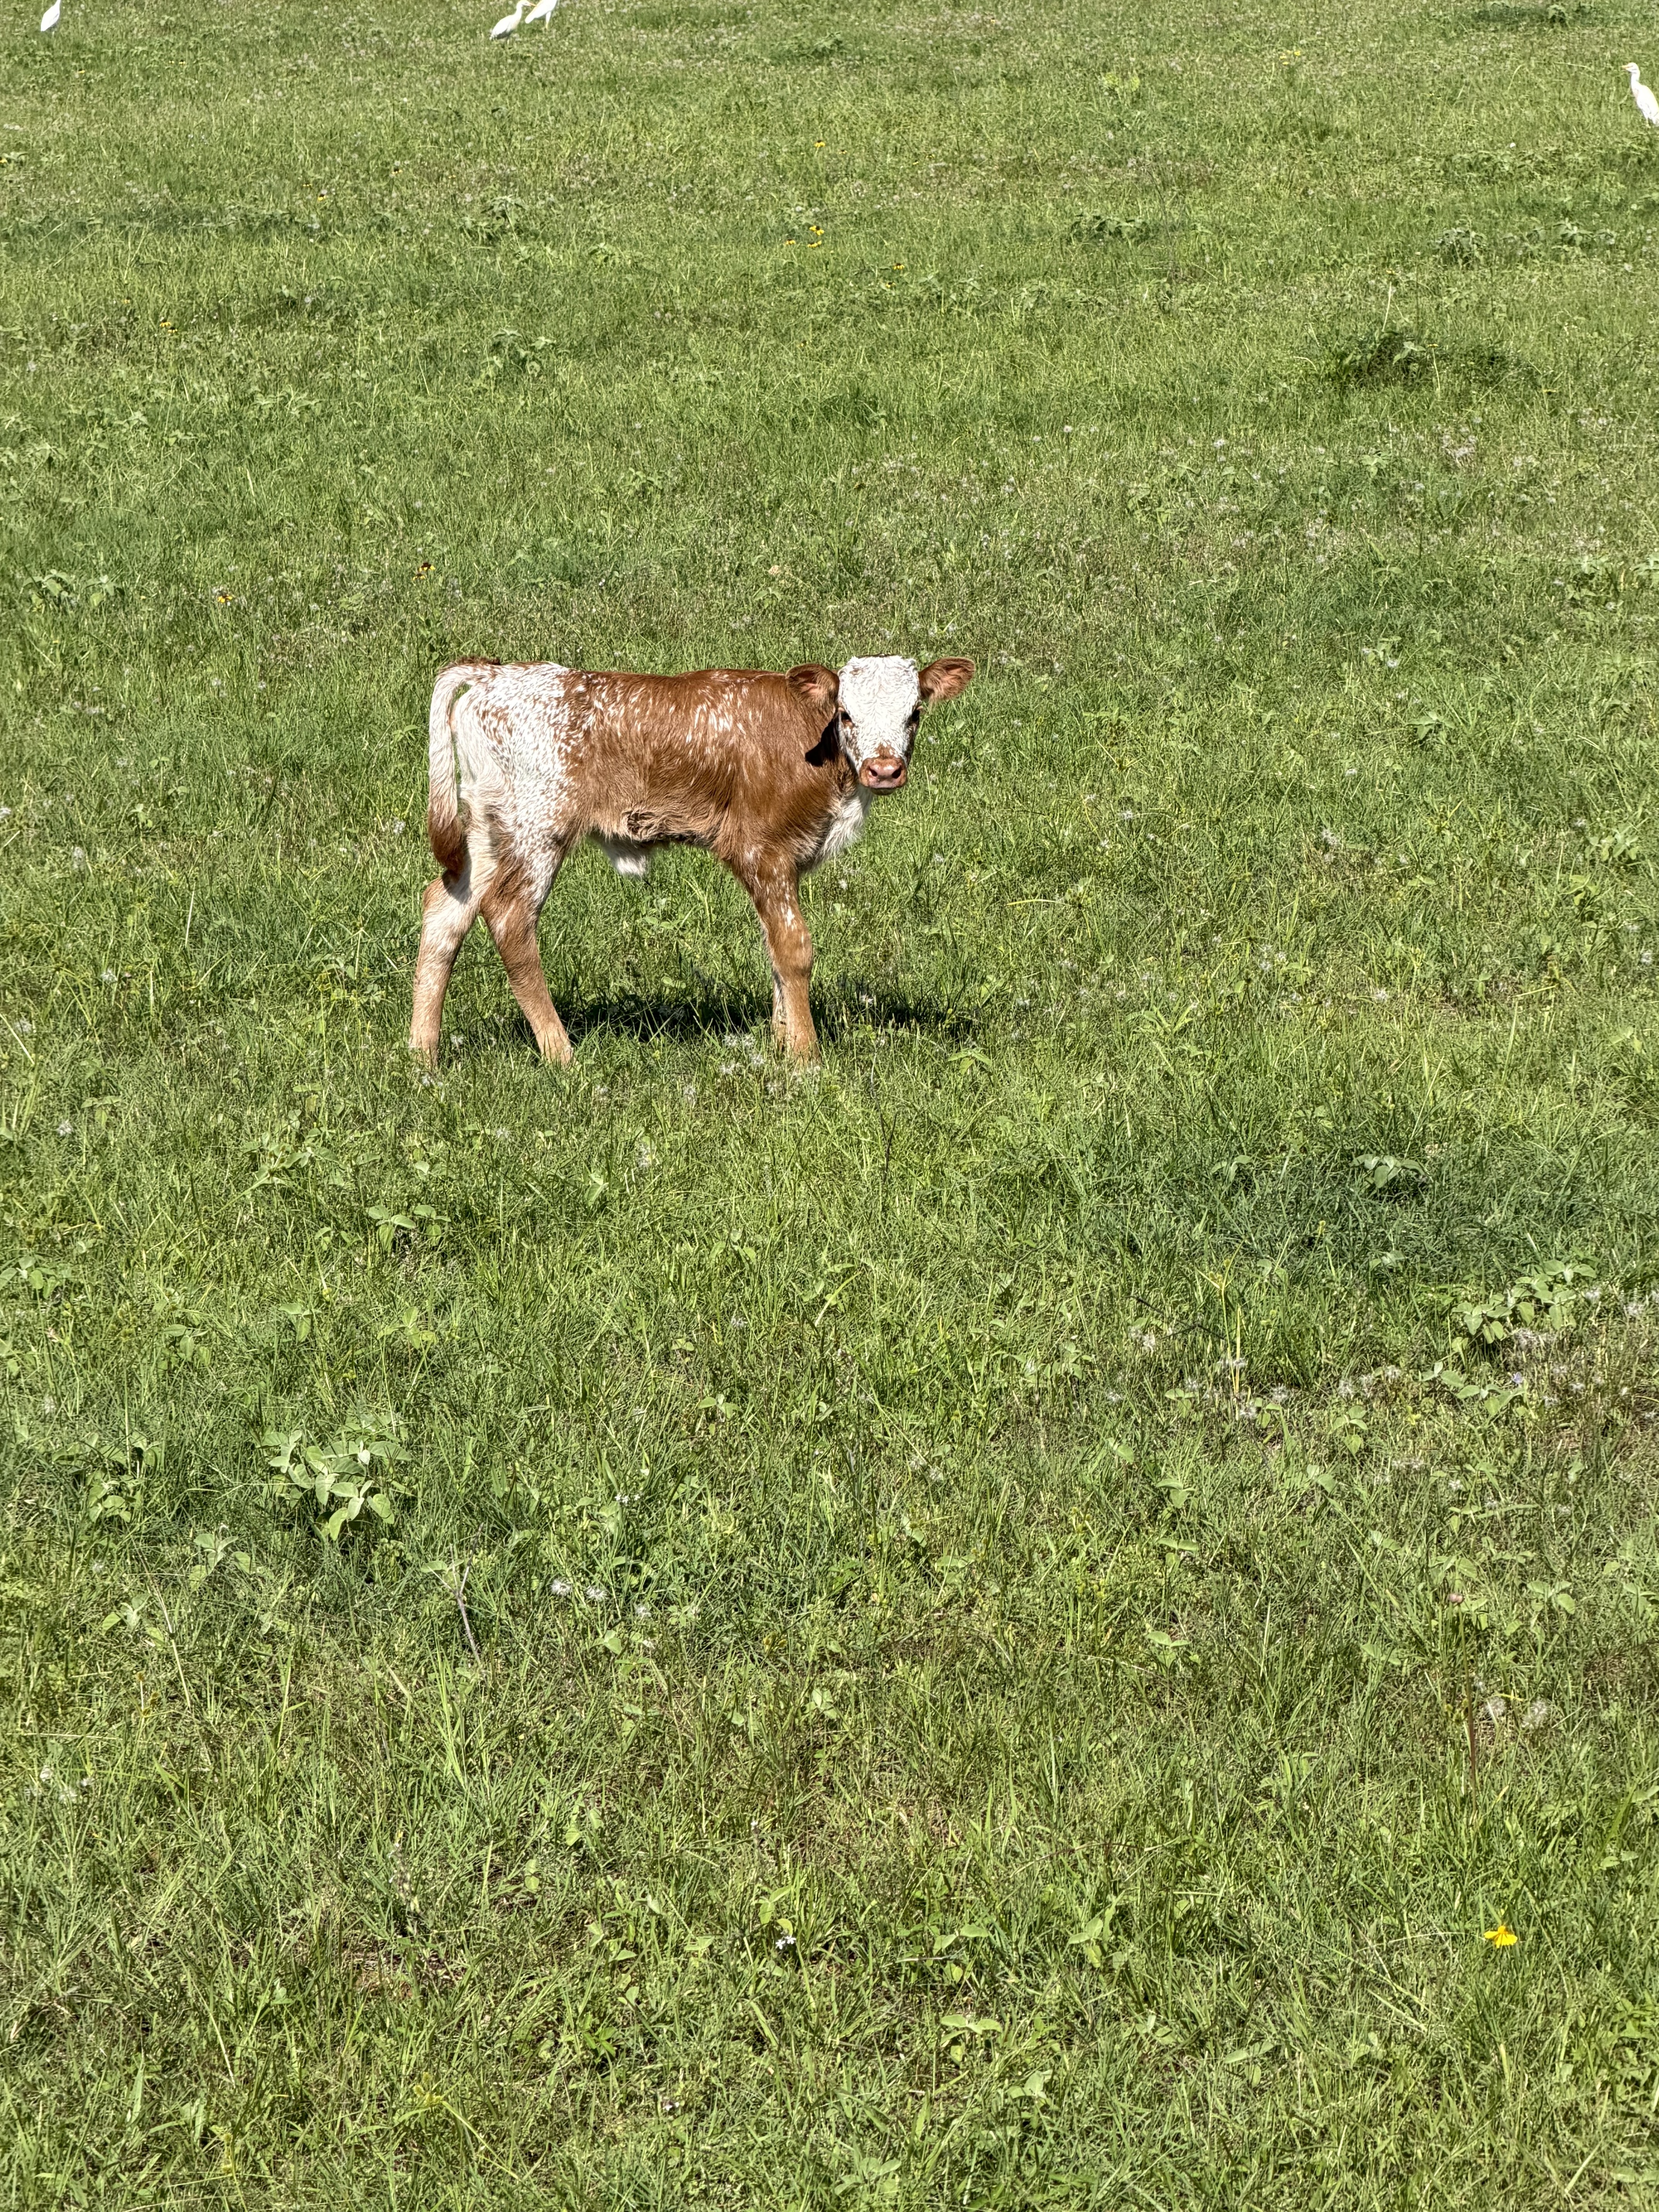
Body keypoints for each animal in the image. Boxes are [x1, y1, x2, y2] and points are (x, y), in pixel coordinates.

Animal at [410, 652, 975, 1067]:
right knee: (509, 917)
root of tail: (497, 673)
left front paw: (780, 1042)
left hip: (489, 826)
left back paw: (423, 1054)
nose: (885, 770)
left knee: (446, 908)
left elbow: (773, 949)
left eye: (914, 714)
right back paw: (561, 1053)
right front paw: (805, 1056)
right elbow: (794, 948)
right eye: (847, 714)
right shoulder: (761, 850)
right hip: (537, 826)